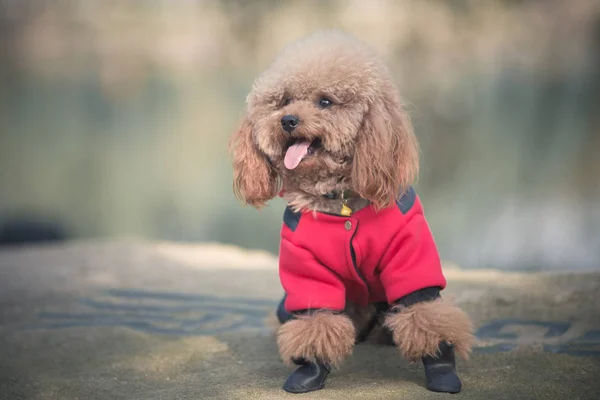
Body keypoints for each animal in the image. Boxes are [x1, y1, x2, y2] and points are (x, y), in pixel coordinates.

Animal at [229, 30, 474, 394]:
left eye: (325, 102)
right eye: (284, 100)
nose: (288, 120)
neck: (341, 200)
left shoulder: (411, 253)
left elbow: (425, 312)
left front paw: (441, 366)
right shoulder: (306, 267)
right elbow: (316, 319)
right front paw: (310, 369)